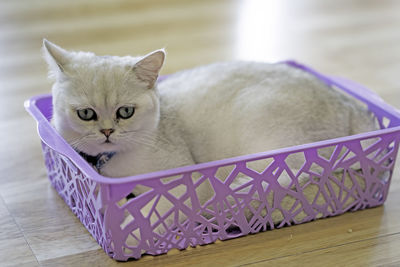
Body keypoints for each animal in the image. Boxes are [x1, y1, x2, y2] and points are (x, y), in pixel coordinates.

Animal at [43, 40, 378, 249]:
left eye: (126, 112)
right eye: (86, 114)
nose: (107, 131)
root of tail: (351, 106)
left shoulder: (181, 184)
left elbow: (149, 217)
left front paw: (131, 232)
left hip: (271, 147)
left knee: (291, 184)